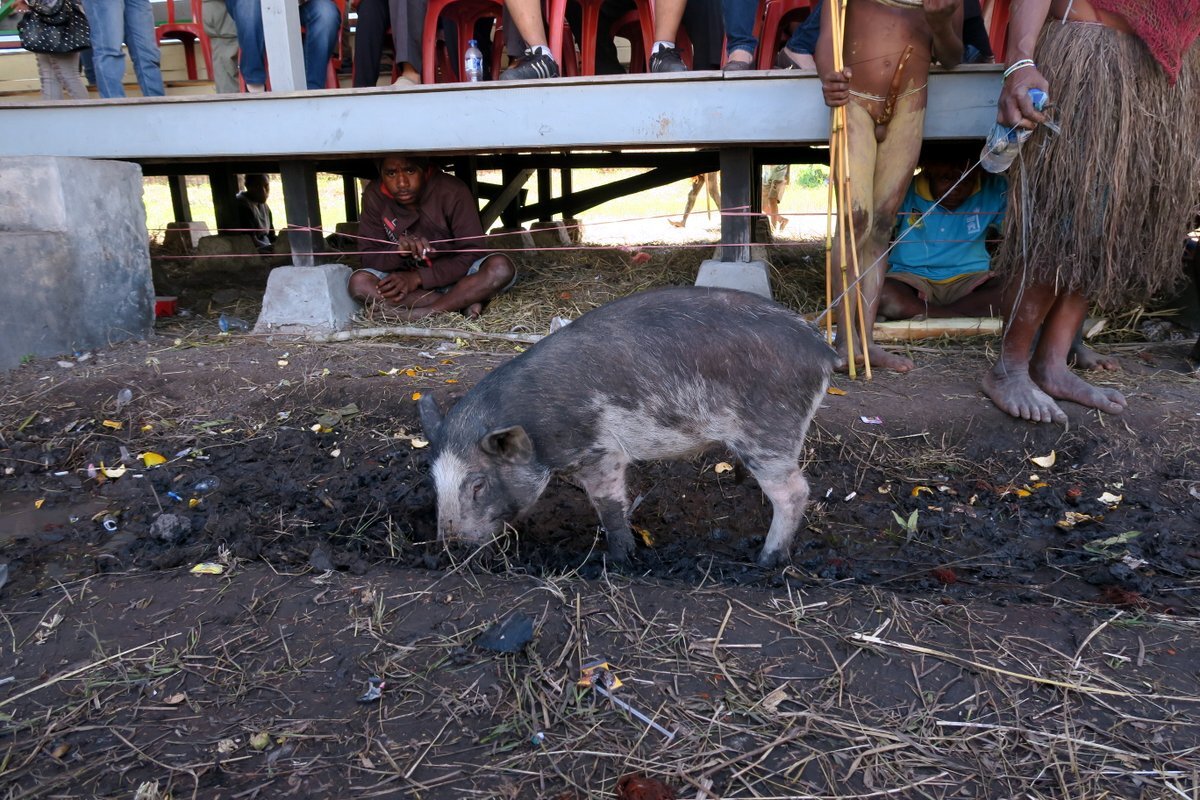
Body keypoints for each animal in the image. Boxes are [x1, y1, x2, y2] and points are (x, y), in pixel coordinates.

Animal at [417, 284, 840, 566]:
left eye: (478, 485)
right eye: (433, 481)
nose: (445, 551)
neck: (535, 426)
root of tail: (822, 349)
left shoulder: (601, 451)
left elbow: (609, 505)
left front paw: (620, 560)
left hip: (769, 431)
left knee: (795, 491)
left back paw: (766, 561)